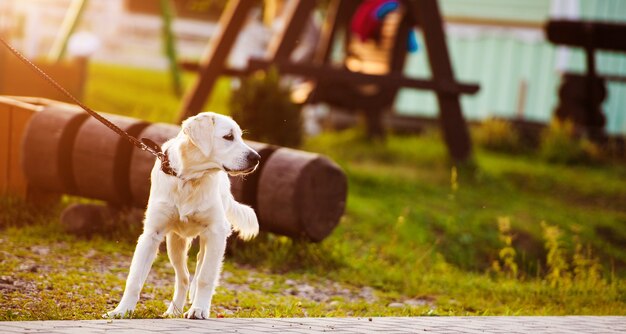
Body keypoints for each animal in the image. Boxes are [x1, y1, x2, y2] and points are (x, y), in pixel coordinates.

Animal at [105, 111, 258, 318]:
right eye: (228, 136)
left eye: (240, 136)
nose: (257, 158)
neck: (189, 179)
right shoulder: (151, 235)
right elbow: (135, 279)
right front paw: (121, 311)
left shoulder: (217, 231)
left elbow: (206, 277)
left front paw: (199, 309)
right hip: (175, 243)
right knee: (183, 277)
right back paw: (174, 310)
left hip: (210, 238)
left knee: (200, 265)